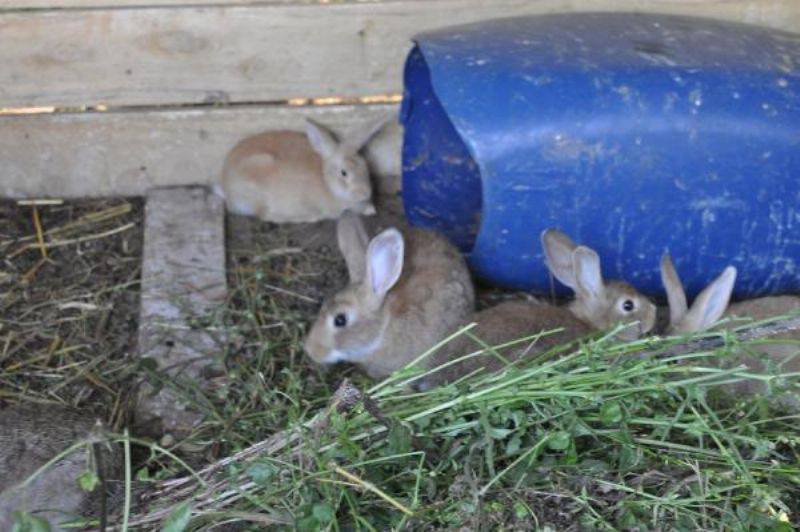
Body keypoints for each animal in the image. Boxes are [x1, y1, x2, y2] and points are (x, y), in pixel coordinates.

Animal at [212, 116, 388, 222]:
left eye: (365, 165)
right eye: (344, 173)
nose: (366, 193)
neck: (326, 182)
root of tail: (226, 187)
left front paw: (371, 209)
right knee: (264, 215)